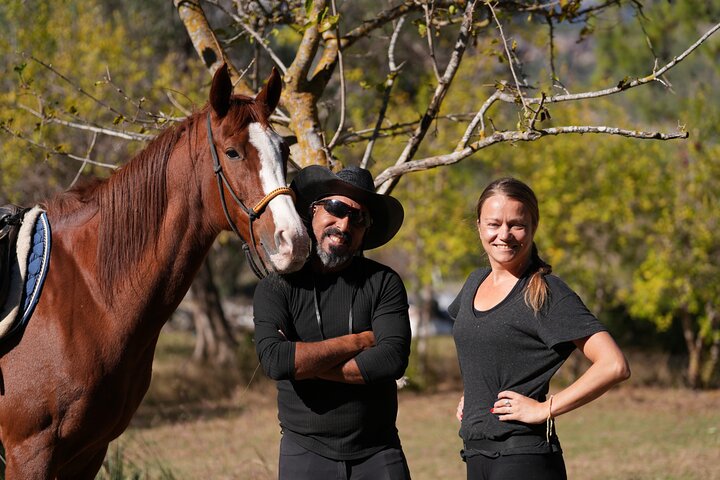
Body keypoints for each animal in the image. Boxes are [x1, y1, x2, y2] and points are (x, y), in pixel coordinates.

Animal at [0, 64, 310, 479]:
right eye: (232, 152)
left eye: (284, 149)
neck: (89, 294)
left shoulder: (87, 453)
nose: (296, 241)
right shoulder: (29, 453)